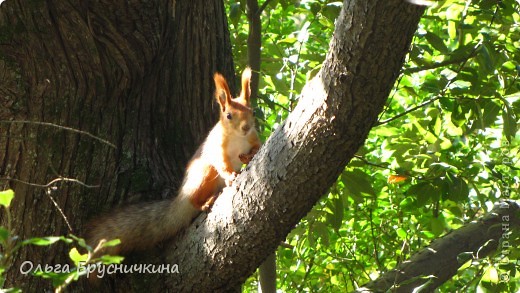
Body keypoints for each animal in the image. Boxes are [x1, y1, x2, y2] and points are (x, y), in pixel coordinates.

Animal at [88, 68, 264, 256]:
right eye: (228, 115)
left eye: (252, 112)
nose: (246, 127)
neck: (238, 138)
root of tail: (181, 197)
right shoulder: (217, 146)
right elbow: (221, 162)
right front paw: (230, 175)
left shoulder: (253, 138)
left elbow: (256, 147)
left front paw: (249, 156)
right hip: (202, 174)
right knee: (195, 197)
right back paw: (204, 202)